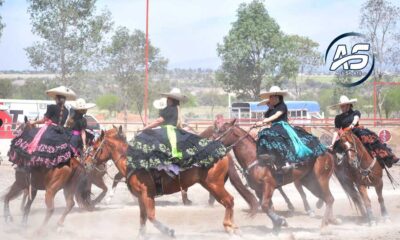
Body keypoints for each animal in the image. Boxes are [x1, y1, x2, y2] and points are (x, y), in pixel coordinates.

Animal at [85, 126, 260, 237]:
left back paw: (230, 228)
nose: (86, 163)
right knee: (229, 201)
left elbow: (151, 217)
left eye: (94, 148)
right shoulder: (141, 197)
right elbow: (143, 219)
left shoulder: (147, 194)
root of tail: (224, 152)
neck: (132, 161)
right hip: (211, 185)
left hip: (214, 185)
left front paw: (169, 231)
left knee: (229, 201)